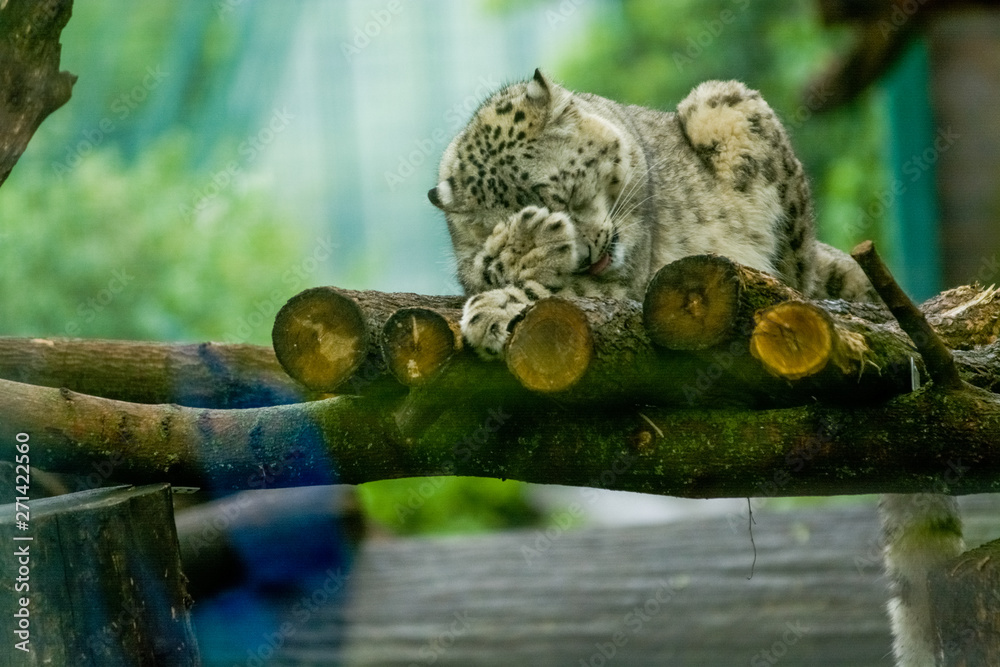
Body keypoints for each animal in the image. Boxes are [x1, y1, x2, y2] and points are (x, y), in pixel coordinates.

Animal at [429, 69, 962, 667]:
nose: (586, 250)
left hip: (731, 114)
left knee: (792, 276)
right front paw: (513, 267)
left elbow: (572, 290)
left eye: (554, 191)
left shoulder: (634, 280)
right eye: (500, 213)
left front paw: (511, 283)